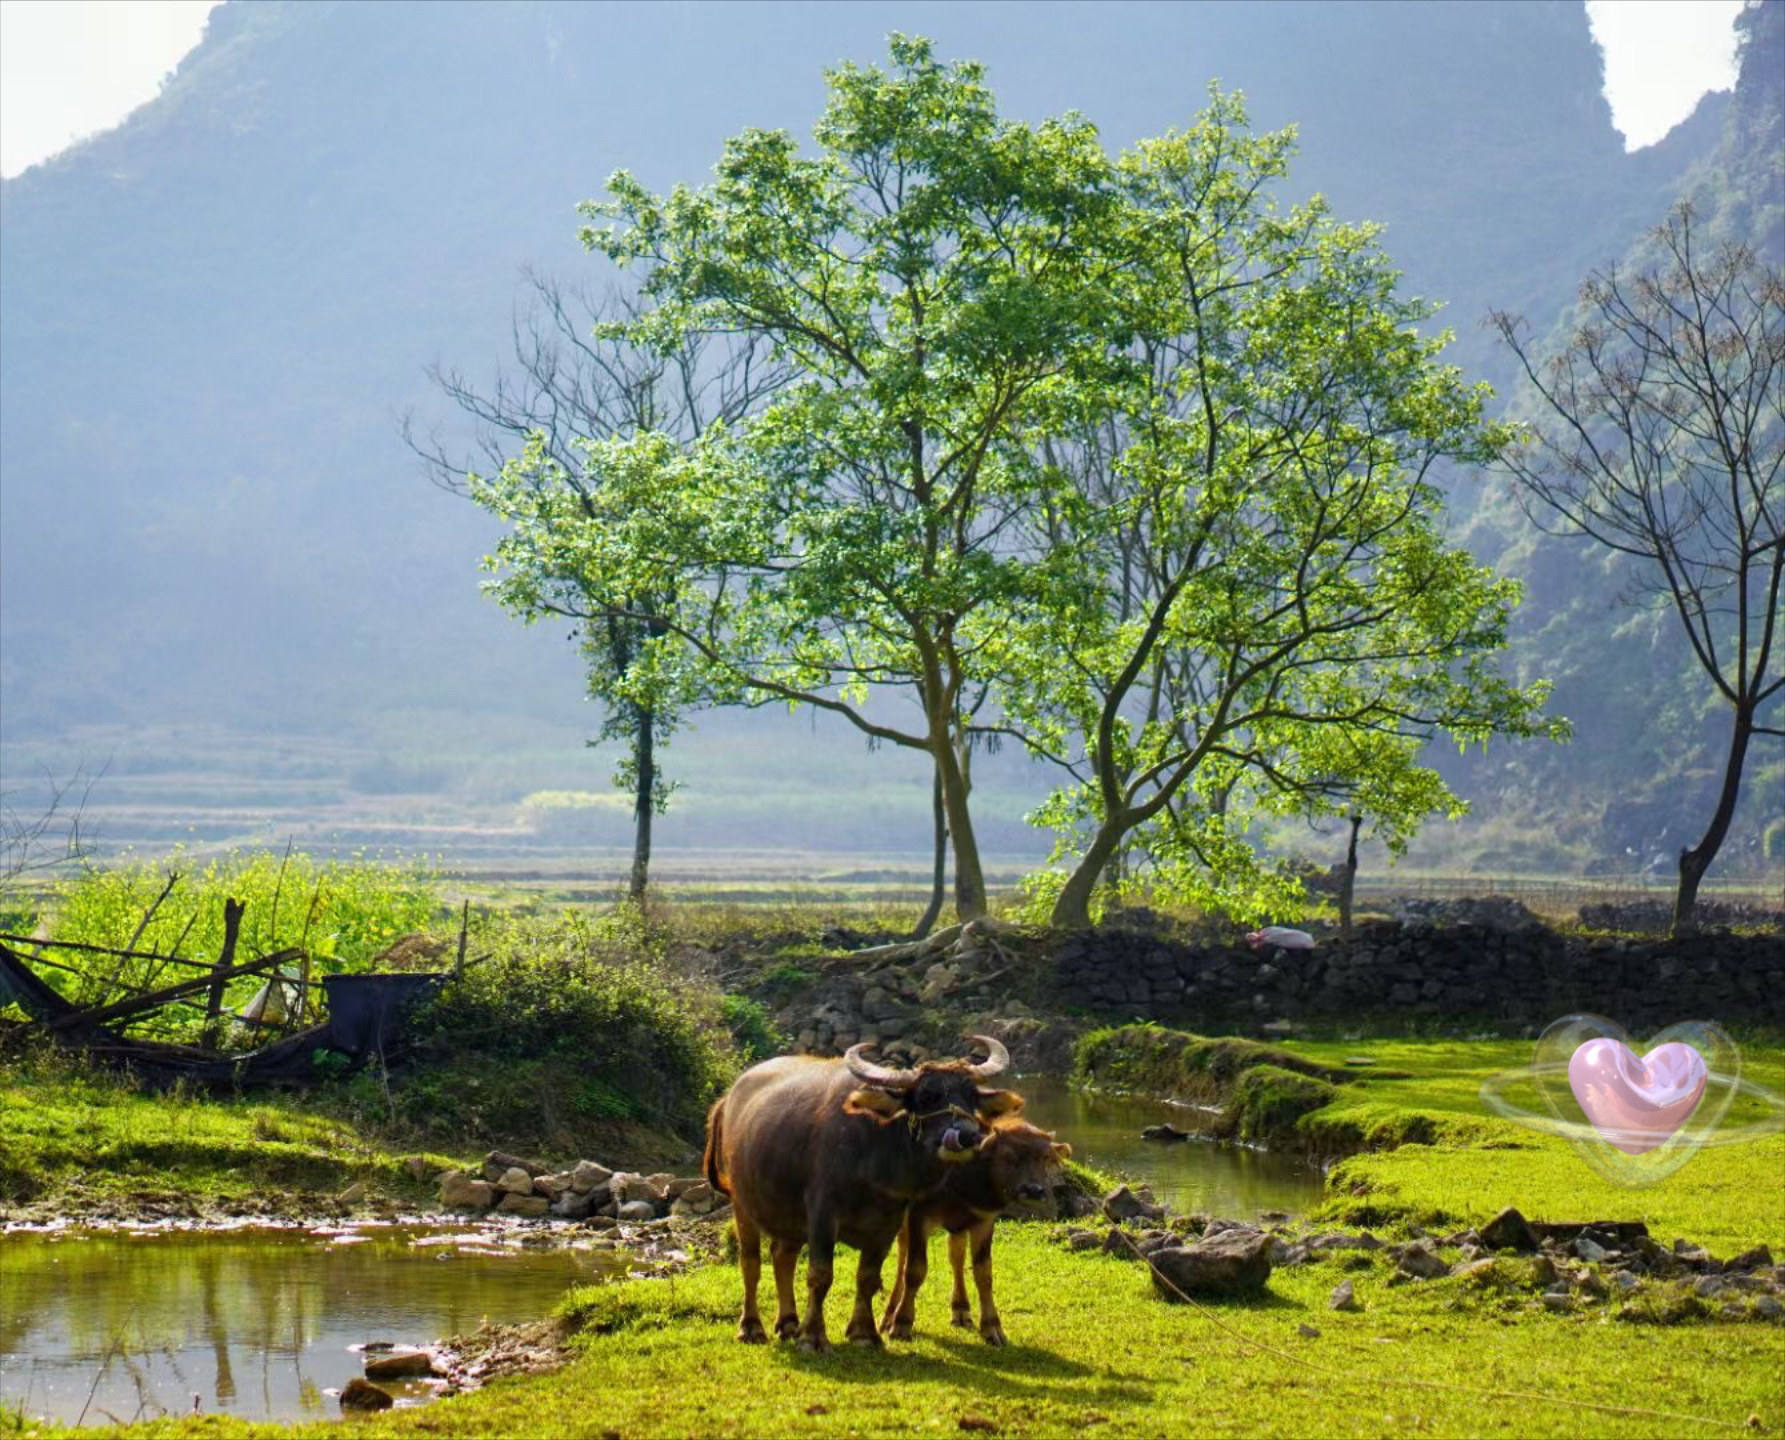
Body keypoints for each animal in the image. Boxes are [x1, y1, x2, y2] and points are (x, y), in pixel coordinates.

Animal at [706, 1034, 1028, 1348]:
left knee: (782, 1256)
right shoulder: (822, 1214)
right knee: (750, 1263)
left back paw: (788, 1323)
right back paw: (752, 1327)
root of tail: (729, 1099)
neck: (875, 1153)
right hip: (742, 1204)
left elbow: (868, 1277)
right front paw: (813, 1336)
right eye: (926, 1097)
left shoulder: (888, 1222)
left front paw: (864, 1332)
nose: (968, 1135)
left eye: (971, 1097)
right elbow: (820, 1274)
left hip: (788, 1215)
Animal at [874, 1120, 1063, 1348]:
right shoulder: (919, 1216)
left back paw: (961, 1309)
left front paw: (992, 1327)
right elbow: (914, 1270)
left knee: (956, 1256)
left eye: (1045, 1157)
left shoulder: (984, 1222)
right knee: (902, 1257)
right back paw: (889, 1316)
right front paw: (901, 1323)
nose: (1034, 1191)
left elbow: (984, 1274)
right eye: (1008, 1156)